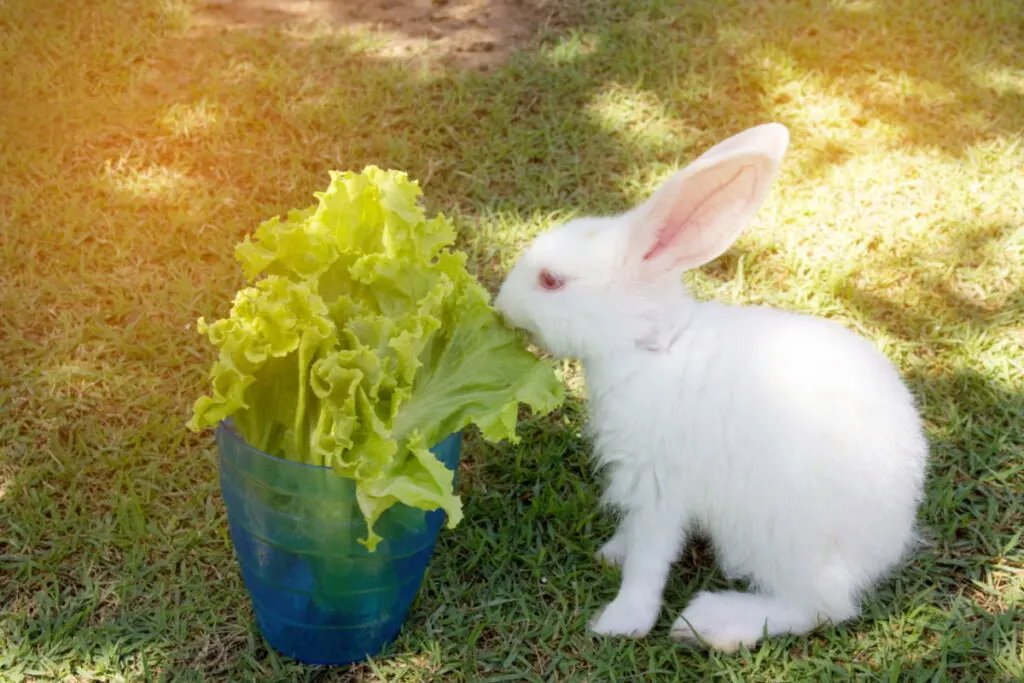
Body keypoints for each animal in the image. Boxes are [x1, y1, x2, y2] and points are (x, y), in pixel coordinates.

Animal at [491, 122, 933, 651]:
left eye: (551, 281)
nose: (500, 306)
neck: (650, 344)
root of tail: (886, 544)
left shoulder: (658, 484)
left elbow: (650, 559)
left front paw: (621, 622)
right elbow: (634, 538)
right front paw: (611, 553)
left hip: (781, 540)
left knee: (820, 608)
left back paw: (710, 623)